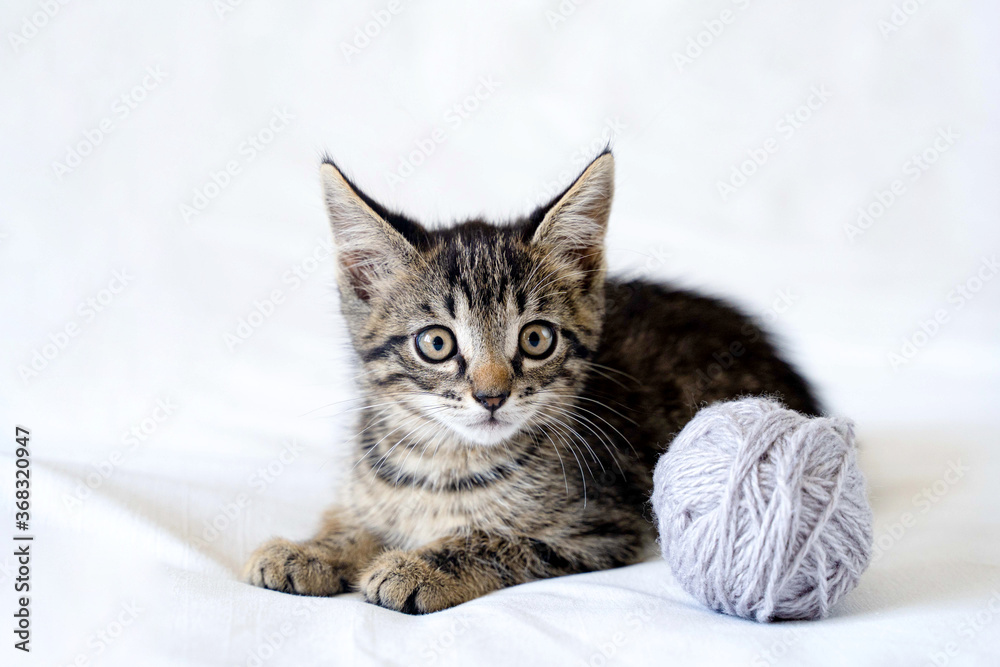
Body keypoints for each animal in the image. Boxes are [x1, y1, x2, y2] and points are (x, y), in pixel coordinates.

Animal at [244, 149, 820, 612]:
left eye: (536, 339)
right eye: (436, 344)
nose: (491, 396)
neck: (442, 462)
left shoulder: (603, 525)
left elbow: (501, 539)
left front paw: (420, 566)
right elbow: (353, 523)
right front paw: (310, 550)